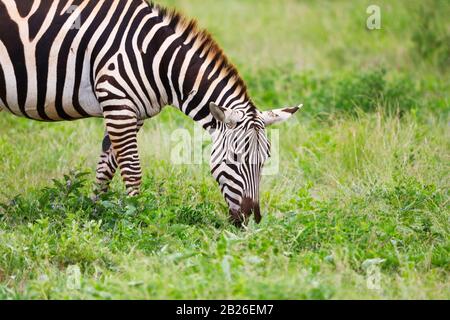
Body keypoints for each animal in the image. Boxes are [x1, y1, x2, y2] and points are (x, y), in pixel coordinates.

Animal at [0, 0, 302, 226]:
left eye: (265, 160)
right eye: (235, 159)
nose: (251, 220)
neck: (157, 60)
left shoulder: (133, 114)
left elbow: (106, 167)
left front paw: (95, 211)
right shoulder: (118, 103)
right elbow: (132, 170)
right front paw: (136, 217)